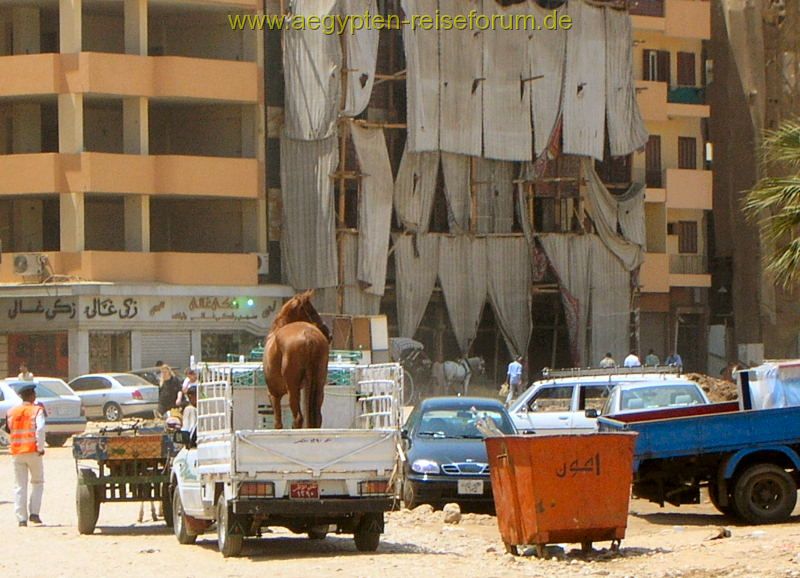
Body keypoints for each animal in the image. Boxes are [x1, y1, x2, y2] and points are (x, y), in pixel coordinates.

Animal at [262, 288, 332, 428]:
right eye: (312, 311)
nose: (330, 335)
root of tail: (308, 335)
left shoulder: (273, 394)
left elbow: (278, 424)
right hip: (319, 384)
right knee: (317, 417)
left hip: (292, 389)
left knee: (298, 418)